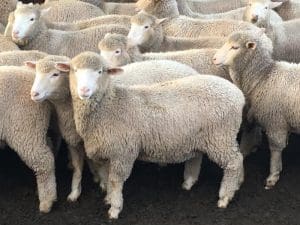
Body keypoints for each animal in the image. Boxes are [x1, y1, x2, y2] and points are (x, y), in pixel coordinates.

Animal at [62, 51, 244, 218]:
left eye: (100, 71)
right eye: (74, 70)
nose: (84, 90)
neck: (110, 105)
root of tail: (238, 94)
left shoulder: (123, 153)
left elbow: (115, 181)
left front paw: (115, 208)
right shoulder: (108, 152)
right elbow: (107, 178)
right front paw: (108, 198)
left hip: (220, 137)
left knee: (234, 161)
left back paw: (225, 196)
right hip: (204, 136)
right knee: (208, 156)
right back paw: (193, 182)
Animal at [213, 27, 300, 190]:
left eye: (235, 47)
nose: (214, 59)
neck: (263, 77)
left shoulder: (275, 122)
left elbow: (276, 149)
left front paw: (273, 176)